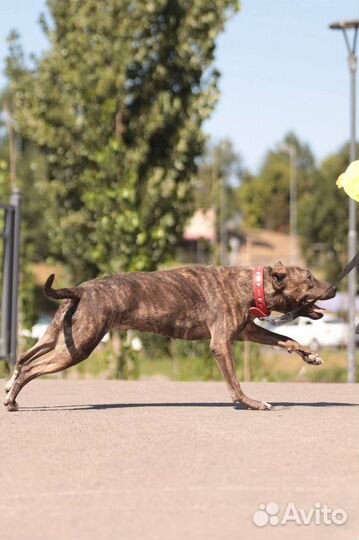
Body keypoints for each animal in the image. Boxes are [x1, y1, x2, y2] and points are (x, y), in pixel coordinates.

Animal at [4, 262, 338, 410]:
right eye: (309, 278)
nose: (335, 287)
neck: (252, 285)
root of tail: (80, 290)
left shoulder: (248, 331)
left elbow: (287, 341)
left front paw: (310, 355)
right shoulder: (222, 343)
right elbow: (235, 383)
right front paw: (251, 403)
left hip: (59, 337)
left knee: (23, 358)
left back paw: (9, 388)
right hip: (79, 346)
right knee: (32, 367)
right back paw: (12, 400)